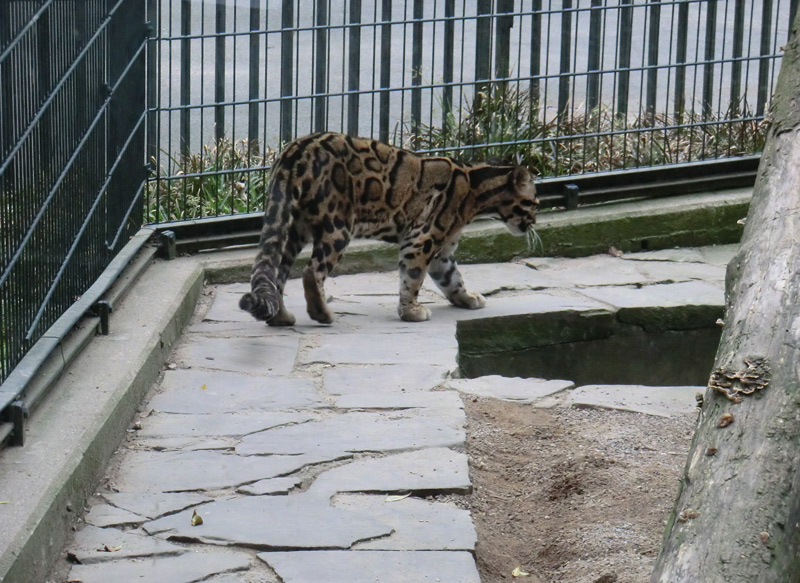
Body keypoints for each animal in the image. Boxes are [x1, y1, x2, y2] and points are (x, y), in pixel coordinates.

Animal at [238, 131, 536, 324]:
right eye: (534, 202)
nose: (533, 222)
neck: (476, 187)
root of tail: (294, 152)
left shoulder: (442, 253)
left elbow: (453, 279)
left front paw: (467, 298)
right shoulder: (422, 239)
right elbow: (412, 278)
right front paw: (411, 312)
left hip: (292, 228)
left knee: (276, 275)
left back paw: (281, 317)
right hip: (338, 225)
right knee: (312, 272)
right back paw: (322, 314)